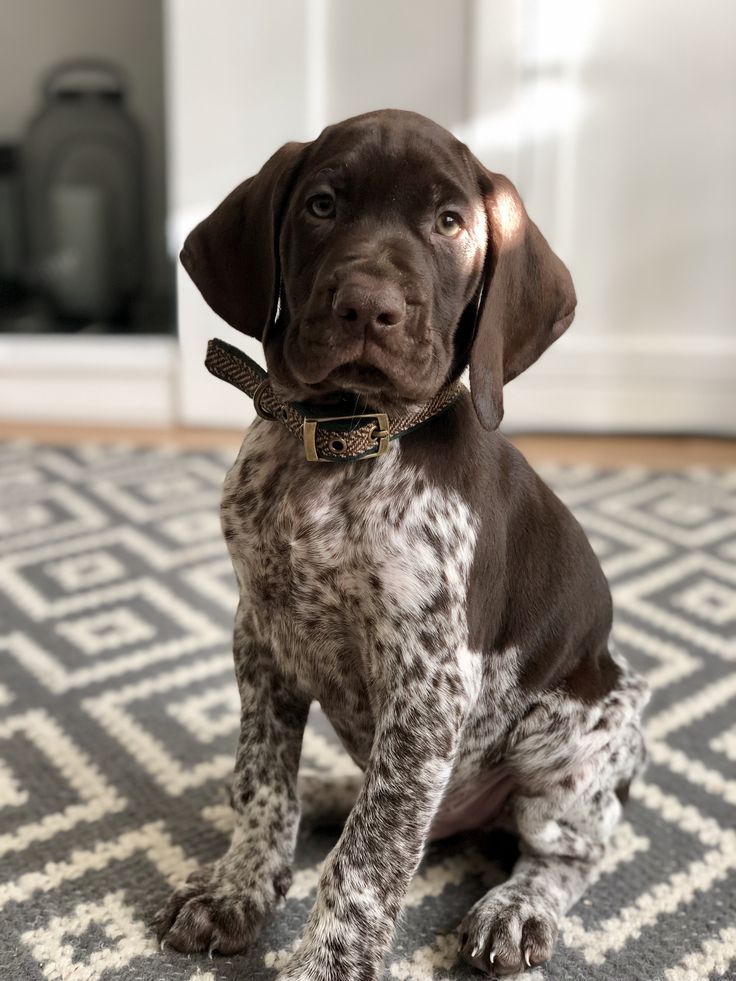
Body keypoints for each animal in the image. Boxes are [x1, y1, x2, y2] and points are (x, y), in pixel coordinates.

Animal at [152, 109, 648, 980]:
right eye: (321, 205)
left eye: (449, 223)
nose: (366, 306)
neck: (342, 440)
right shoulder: (262, 638)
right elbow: (263, 782)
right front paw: (239, 884)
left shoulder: (428, 686)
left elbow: (370, 851)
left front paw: (328, 960)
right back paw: (324, 793)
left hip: (585, 733)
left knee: (565, 850)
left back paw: (516, 907)